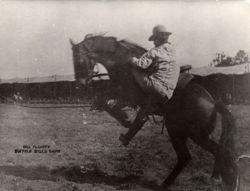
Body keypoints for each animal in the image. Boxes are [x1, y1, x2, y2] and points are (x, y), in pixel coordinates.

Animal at [70, 35, 238, 190]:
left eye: (79, 61)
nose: (80, 84)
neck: (124, 64)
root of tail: (214, 103)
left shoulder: (129, 95)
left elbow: (108, 103)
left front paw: (126, 119)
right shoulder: (119, 92)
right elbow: (102, 100)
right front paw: (123, 118)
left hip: (189, 134)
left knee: (211, 152)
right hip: (186, 133)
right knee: (194, 156)